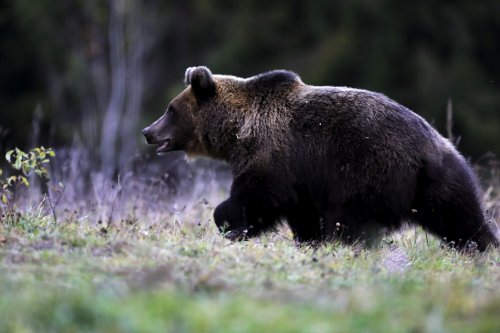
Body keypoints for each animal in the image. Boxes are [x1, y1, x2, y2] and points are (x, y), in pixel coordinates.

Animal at [142, 66, 500, 250]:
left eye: (170, 110)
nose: (148, 131)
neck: (236, 131)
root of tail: (428, 150)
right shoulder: (302, 180)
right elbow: (301, 214)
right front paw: (306, 241)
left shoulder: (275, 156)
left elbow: (256, 197)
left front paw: (228, 222)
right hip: (442, 179)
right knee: (461, 217)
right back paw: (484, 247)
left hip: (368, 171)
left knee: (348, 220)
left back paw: (343, 245)